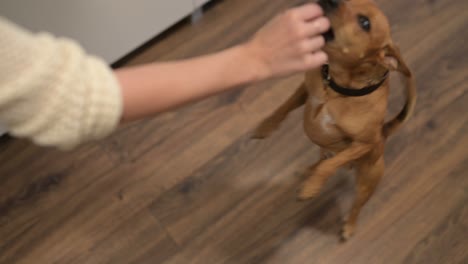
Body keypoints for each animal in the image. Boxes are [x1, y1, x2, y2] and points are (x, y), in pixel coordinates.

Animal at [254, 0, 414, 239]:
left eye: (365, 23)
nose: (331, 1)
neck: (337, 87)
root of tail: (384, 134)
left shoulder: (363, 143)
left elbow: (330, 166)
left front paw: (311, 188)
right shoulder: (305, 90)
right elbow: (284, 108)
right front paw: (266, 127)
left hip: (367, 182)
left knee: (355, 204)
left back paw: (349, 225)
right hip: (326, 151)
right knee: (321, 159)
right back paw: (308, 171)